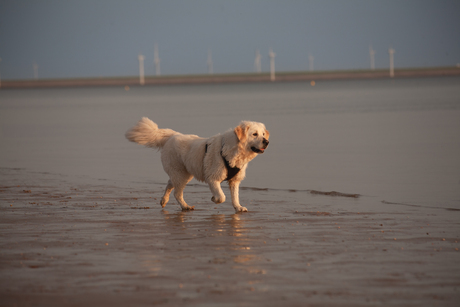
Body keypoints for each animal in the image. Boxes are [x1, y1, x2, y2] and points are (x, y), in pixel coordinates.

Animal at [126, 119, 270, 213]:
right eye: (254, 134)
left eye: (263, 134)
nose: (267, 141)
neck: (234, 149)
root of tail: (173, 135)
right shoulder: (213, 178)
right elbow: (222, 197)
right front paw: (214, 198)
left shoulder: (234, 180)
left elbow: (235, 196)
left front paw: (238, 207)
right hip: (181, 174)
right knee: (177, 193)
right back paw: (185, 206)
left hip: (183, 173)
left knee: (169, 184)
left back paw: (164, 200)